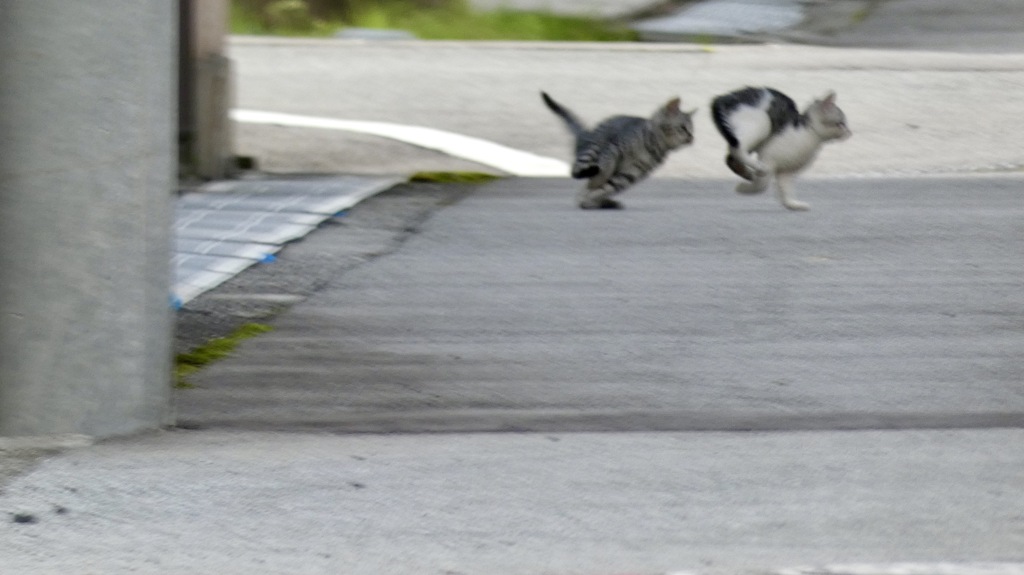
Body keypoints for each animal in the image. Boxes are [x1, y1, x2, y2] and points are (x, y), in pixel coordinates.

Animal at [540, 93, 692, 209]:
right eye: (683, 128)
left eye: (692, 130)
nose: (692, 138)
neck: (652, 144)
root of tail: (587, 135)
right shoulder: (613, 150)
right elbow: (602, 173)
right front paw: (591, 191)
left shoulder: (632, 173)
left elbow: (610, 187)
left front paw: (592, 197)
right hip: (593, 149)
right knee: (577, 171)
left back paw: (601, 201)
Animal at [712, 84, 847, 210]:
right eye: (841, 123)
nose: (849, 132)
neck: (810, 133)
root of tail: (724, 97)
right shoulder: (768, 157)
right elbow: (762, 186)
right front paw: (743, 188)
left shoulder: (785, 171)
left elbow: (786, 189)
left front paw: (792, 204)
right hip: (761, 122)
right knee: (737, 150)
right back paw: (758, 168)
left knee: (731, 159)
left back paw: (749, 174)